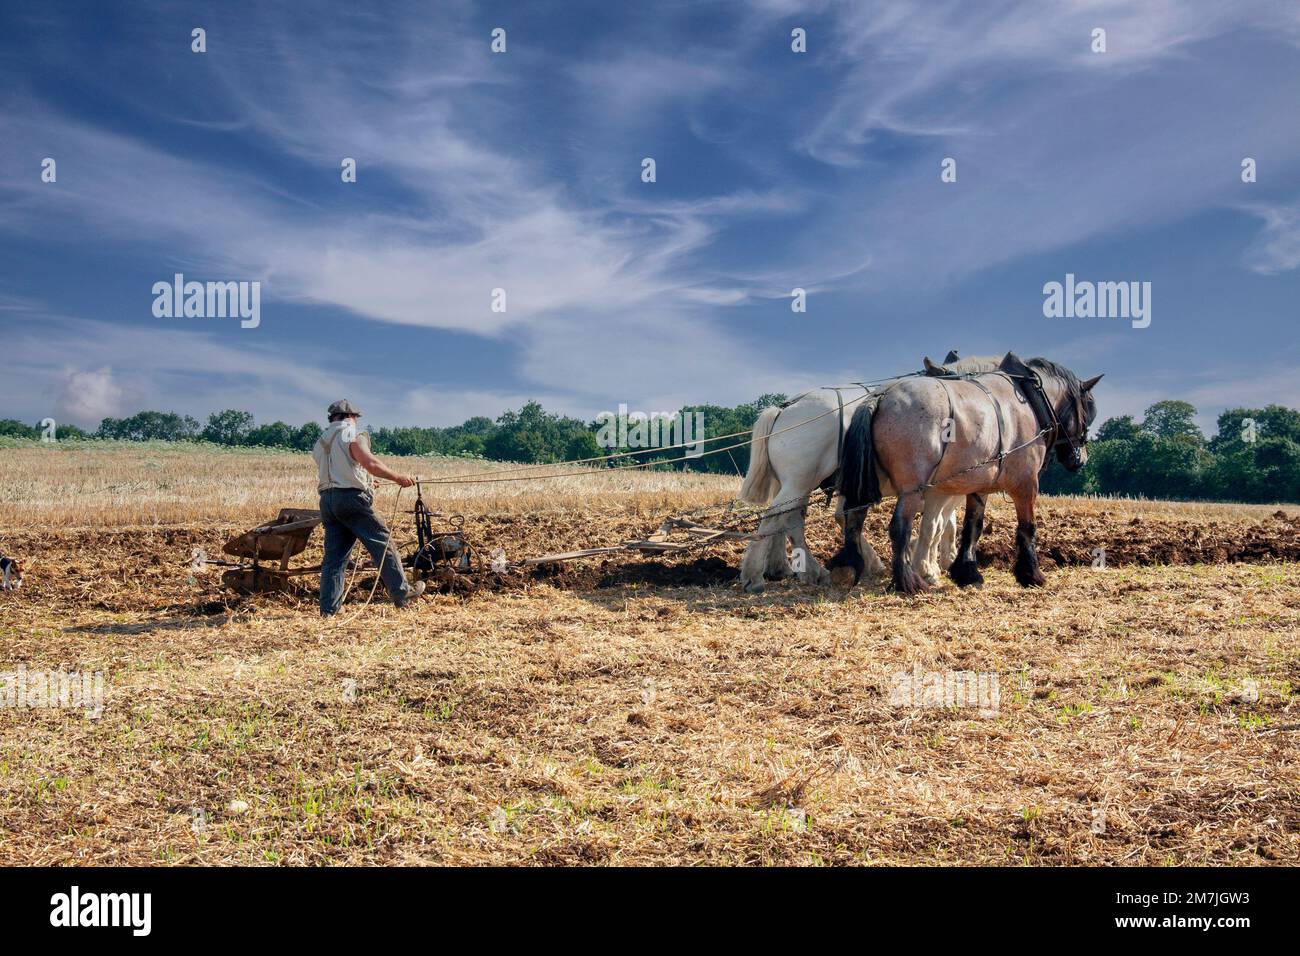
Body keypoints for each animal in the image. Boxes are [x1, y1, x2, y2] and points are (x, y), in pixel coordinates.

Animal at [737, 352, 1002, 593]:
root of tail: (784, 408)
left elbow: (943, 522)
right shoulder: (952, 484)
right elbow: (944, 524)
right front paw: (939, 562)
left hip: (798, 484)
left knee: (790, 519)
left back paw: (792, 568)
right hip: (799, 482)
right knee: (775, 517)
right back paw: (756, 575)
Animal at [828, 352, 1101, 594]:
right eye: (1088, 410)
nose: (1080, 459)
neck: (1029, 398)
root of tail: (880, 396)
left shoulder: (979, 486)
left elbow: (973, 527)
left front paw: (967, 572)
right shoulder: (1026, 483)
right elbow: (1027, 527)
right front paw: (1031, 574)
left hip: (867, 481)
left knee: (854, 518)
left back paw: (850, 567)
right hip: (912, 489)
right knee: (899, 527)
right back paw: (907, 581)